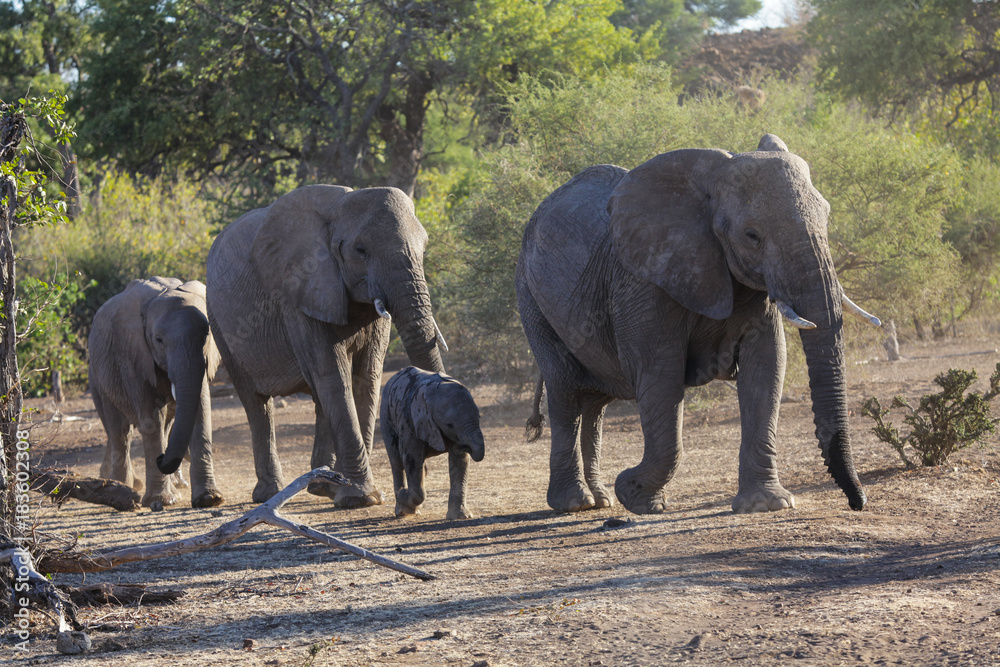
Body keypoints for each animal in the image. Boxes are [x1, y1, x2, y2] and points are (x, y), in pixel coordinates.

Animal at [89, 277, 224, 508]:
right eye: (158, 340)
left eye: (206, 335)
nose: (163, 460)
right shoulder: (132, 354)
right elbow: (152, 419)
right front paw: (161, 501)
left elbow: (200, 414)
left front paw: (209, 499)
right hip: (99, 375)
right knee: (119, 432)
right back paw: (123, 487)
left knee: (164, 425)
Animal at [206, 184, 448, 508]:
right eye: (361, 251)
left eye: (424, 247)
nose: (423, 470)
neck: (339, 207)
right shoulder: (298, 291)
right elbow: (332, 374)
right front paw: (361, 498)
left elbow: (366, 377)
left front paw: (353, 494)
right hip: (219, 321)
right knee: (257, 404)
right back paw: (270, 494)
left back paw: (323, 486)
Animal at [380, 367, 486, 519]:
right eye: (450, 425)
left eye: (479, 417)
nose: (466, 446)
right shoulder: (410, 423)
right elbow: (412, 460)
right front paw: (403, 494)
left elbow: (459, 462)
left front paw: (461, 516)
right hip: (386, 417)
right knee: (396, 461)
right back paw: (402, 509)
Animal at [516, 134, 881, 515]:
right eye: (751, 235)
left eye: (827, 217)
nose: (858, 503)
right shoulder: (644, 280)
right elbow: (661, 375)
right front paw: (635, 494)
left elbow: (767, 366)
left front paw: (765, 504)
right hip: (530, 296)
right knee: (565, 391)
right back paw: (575, 503)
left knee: (594, 404)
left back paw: (600, 499)